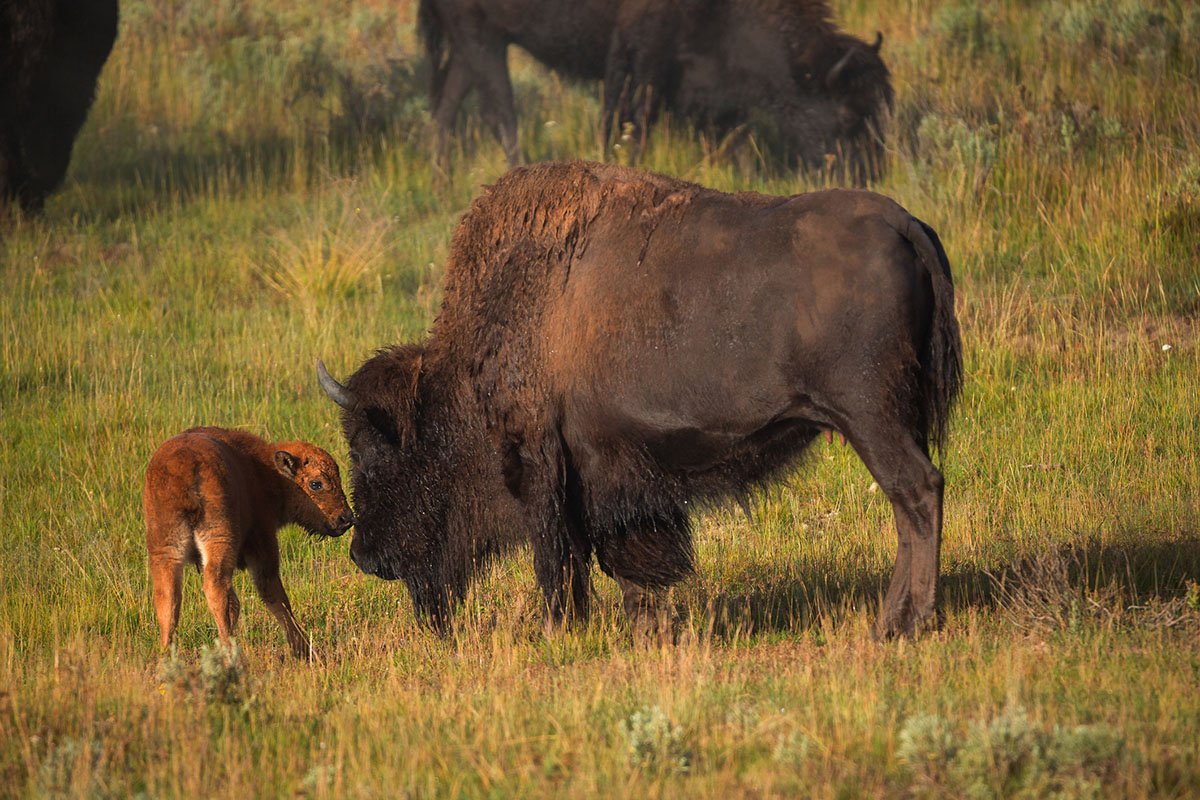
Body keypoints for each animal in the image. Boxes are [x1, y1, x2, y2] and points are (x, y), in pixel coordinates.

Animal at [143, 429, 352, 662]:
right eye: (316, 483)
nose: (346, 518)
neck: (264, 471)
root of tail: (184, 467)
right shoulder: (264, 545)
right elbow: (277, 598)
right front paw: (304, 651)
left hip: (164, 547)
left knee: (167, 597)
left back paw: (165, 657)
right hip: (220, 539)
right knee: (217, 589)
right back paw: (230, 653)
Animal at [321, 159, 964, 642]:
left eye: (376, 451)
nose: (363, 556)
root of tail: (903, 222)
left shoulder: (550, 467)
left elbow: (566, 560)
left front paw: (562, 632)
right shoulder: (609, 475)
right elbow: (618, 556)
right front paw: (644, 627)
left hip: (869, 418)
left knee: (917, 493)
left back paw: (902, 624)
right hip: (894, 418)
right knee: (911, 502)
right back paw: (898, 621)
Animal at [417, 0, 897, 183]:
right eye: (847, 116)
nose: (872, 175)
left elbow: (733, 134)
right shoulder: (636, 60)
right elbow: (628, 123)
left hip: (477, 43)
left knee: (446, 107)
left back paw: (441, 177)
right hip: (481, 37)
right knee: (501, 111)